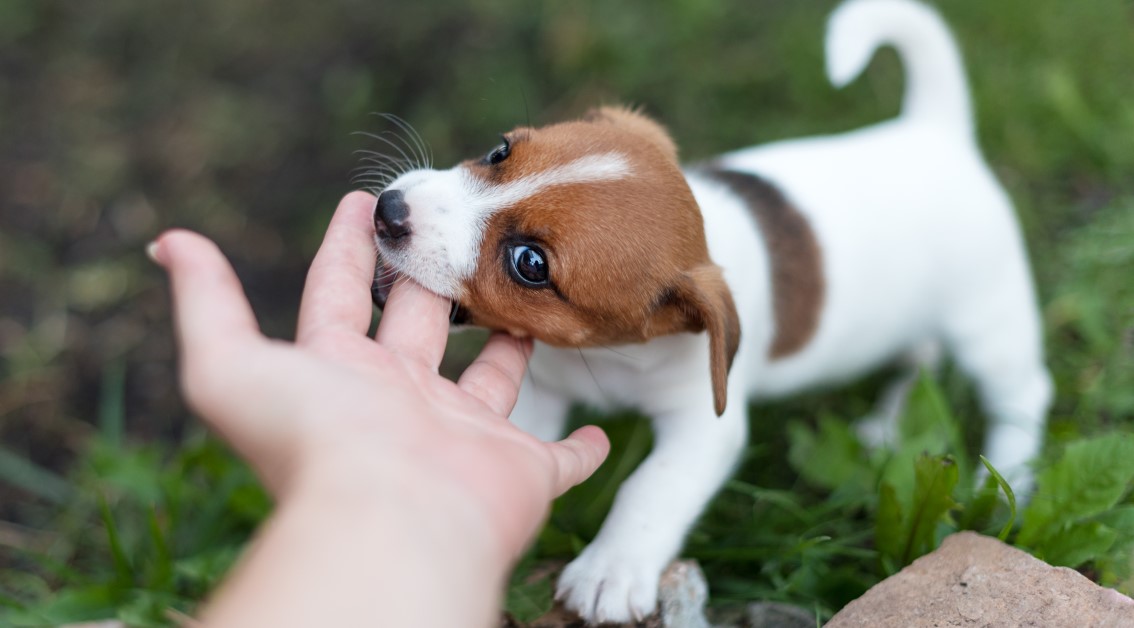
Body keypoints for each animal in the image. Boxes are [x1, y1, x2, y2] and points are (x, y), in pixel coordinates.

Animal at [371, 0, 1052, 621]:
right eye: (499, 151)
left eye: (530, 263)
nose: (388, 210)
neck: (609, 354)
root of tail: (936, 132)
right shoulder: (541, 387)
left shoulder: (705, 426)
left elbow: (651, 486)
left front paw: (611, 568)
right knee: (919, 357)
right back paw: (887, 423)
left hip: (988, 323)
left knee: (1022, 390)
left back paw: (1006, 476)